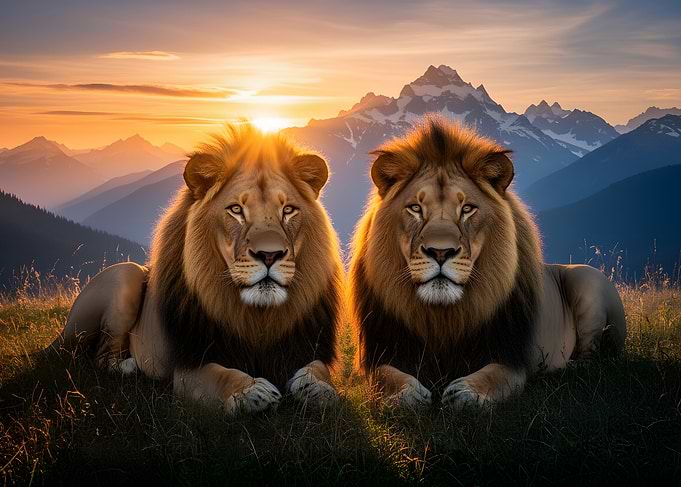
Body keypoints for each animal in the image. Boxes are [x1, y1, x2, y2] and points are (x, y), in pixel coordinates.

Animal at [48, 124, 344, 414]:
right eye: (236, 210)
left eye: (289, 210)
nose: (269, 255)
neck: (257, 316)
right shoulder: (188, 367)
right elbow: (221, 375)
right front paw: (251, 391)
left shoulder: (306, 347)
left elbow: (318, 369)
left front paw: (318, 389)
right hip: (125, 275)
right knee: (100, 357)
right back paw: (130, 366)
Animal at [349, 115, 627, 409]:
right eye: (415, 208)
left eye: (467, 209)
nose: (440, 252)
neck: (442, 317)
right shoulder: (379, 353)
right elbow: (384, 376)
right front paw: (408, 393)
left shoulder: (511, 358)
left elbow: (495, 376)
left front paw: (465, 392)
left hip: (589, 280)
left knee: (592, 357)